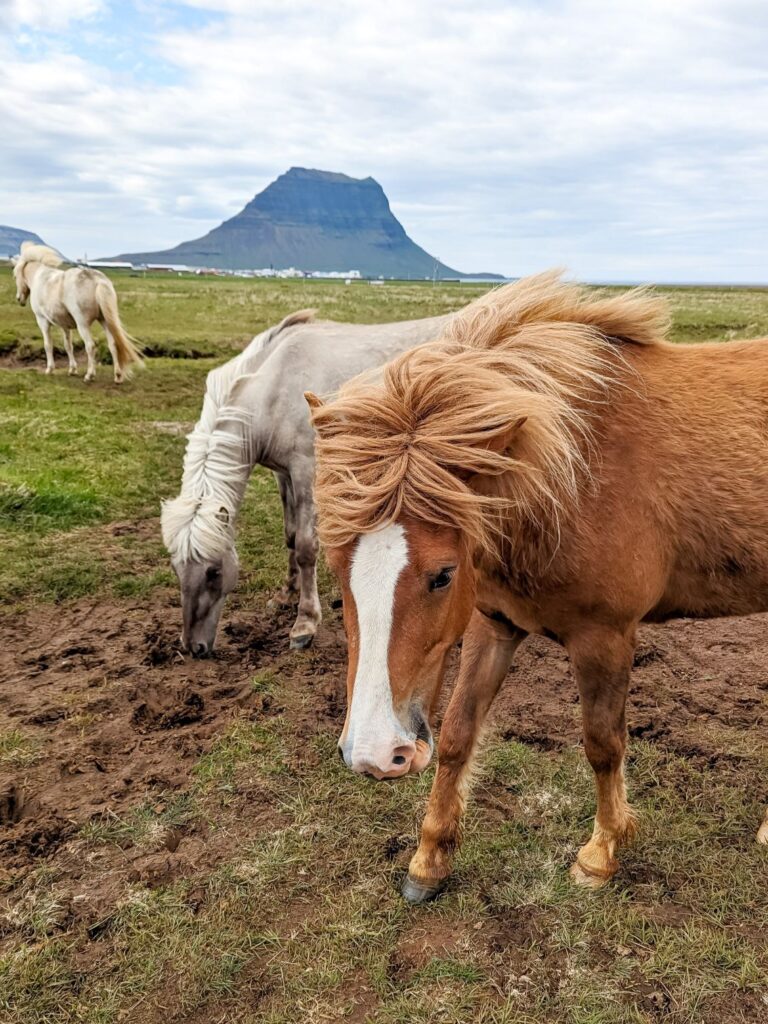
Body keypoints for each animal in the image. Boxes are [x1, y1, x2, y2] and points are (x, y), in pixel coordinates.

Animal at [11, 241, 142, 382]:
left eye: (15, 276)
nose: (19, 299)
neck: (40, 277)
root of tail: (97, 280)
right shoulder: (64, 326)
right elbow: (68, 346)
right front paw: (72, 369)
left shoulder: (43, 321)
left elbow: (48, 344)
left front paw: (49, 369)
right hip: (105, 321)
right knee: (113, 345)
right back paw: (117, 375)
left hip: (82, 325)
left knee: (90, 345)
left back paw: (89, 375)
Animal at [161, 307, 450, 651]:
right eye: (176, 569)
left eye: (213, 571)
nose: (193, 647)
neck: (273, 388)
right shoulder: (282, 473)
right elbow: (289, 536)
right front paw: (286, 595)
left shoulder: (305, 471)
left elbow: (305, 547)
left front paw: (305, 622)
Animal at [309, 272, 768, 905]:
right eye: (337, 570)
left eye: (443, 573)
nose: (377, 756)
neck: (571, 480)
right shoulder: (493, 624)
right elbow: (458, 734)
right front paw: (429, 858)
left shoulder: (604, 638)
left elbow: (602, 744)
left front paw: (601, 853)